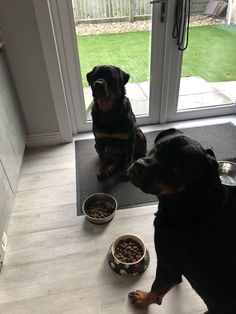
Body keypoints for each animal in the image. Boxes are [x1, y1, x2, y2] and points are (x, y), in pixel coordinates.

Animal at [128, 128, 236, 314]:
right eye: (158, 147)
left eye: (177, 169)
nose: (139, 166)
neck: (192, 199)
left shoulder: (168, 263)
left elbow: (157, 290)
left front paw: (143, 299)